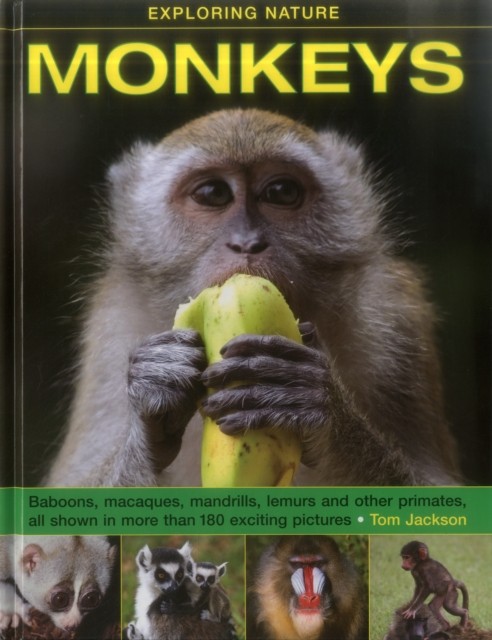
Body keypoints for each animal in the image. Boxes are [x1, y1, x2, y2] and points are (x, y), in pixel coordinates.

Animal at [44, 108, 462, 488]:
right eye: (213, 194)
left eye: (281, 192)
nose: (247, 243)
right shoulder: (109, 329)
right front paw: (154, 395)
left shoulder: (396, 318)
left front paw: (315, 401)